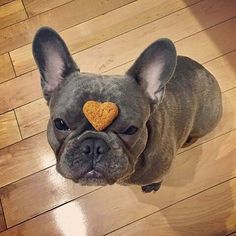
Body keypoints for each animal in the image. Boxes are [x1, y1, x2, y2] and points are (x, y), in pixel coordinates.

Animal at [32, 27, 222, 193]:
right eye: (60, 124)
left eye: (131, 130)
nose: (93, 145)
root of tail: (207, 71)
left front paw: (152, 186)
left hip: (204, 122)